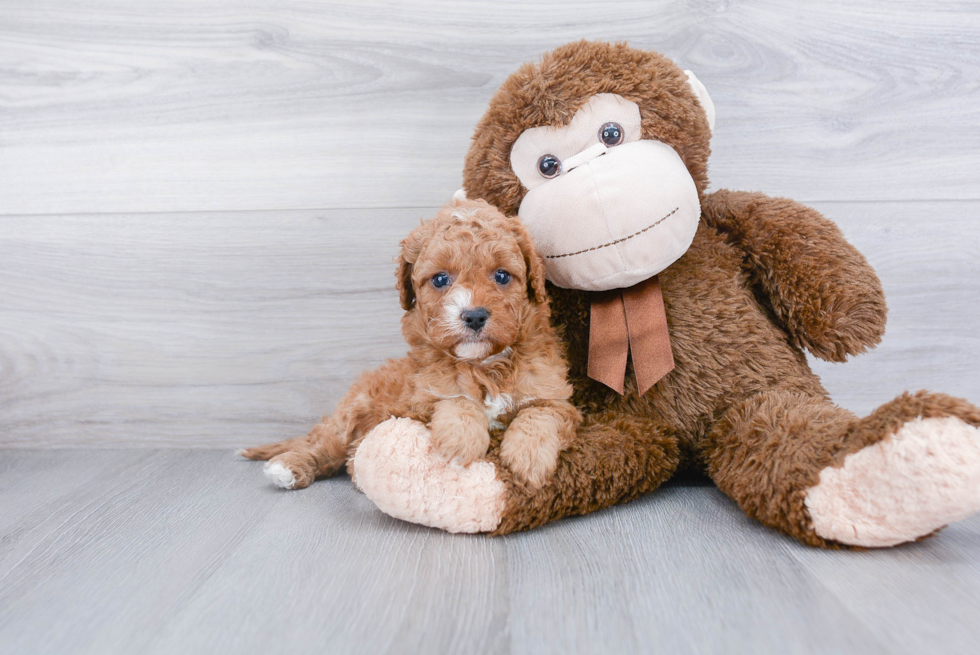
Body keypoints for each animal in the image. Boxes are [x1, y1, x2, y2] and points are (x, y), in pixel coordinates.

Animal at [242, 197, 580, 490]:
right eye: (440, 279)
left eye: (502, 275)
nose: (473, 316)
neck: (483, 365)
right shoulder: (416, 402)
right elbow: (456, 400)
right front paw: (460, 443)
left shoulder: (556, 398)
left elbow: (539, 415)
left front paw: (528, 460)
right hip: (350, 412)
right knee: (323, 445)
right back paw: (288, 467)